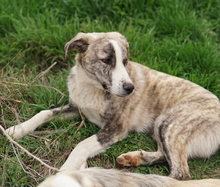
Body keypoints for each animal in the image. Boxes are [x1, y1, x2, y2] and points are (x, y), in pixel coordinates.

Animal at [6, 31, 219, 180]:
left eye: (124, 61)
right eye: (107, 60)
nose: (130, 88)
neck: (93, 87)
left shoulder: (115, 129)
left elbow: (82, 144)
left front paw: (67, 169)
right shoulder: (77, 108)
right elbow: (43, 113)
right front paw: (16, 130)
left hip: (169, 122)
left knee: (179, 174)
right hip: (160, 127)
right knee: (165, 156)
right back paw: (135, 158)